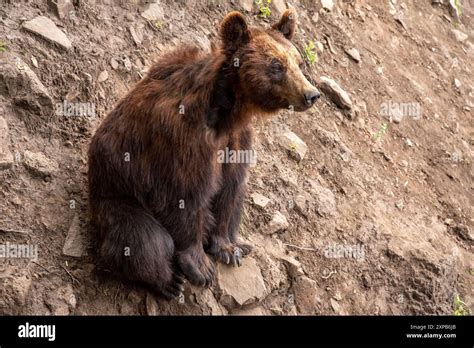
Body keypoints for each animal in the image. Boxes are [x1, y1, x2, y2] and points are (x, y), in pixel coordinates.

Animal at [88, 9, 318, 300]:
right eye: (276, 65)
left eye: (298, 62)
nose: (311, 94)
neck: (228, 112)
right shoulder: (183, 138)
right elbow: (186, 195)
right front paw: (201, 267)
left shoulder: (236, 141)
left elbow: (231, 188)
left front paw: (227, 248)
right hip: (117, 199)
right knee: (144, 239)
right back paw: (169, 281)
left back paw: (241, 244)